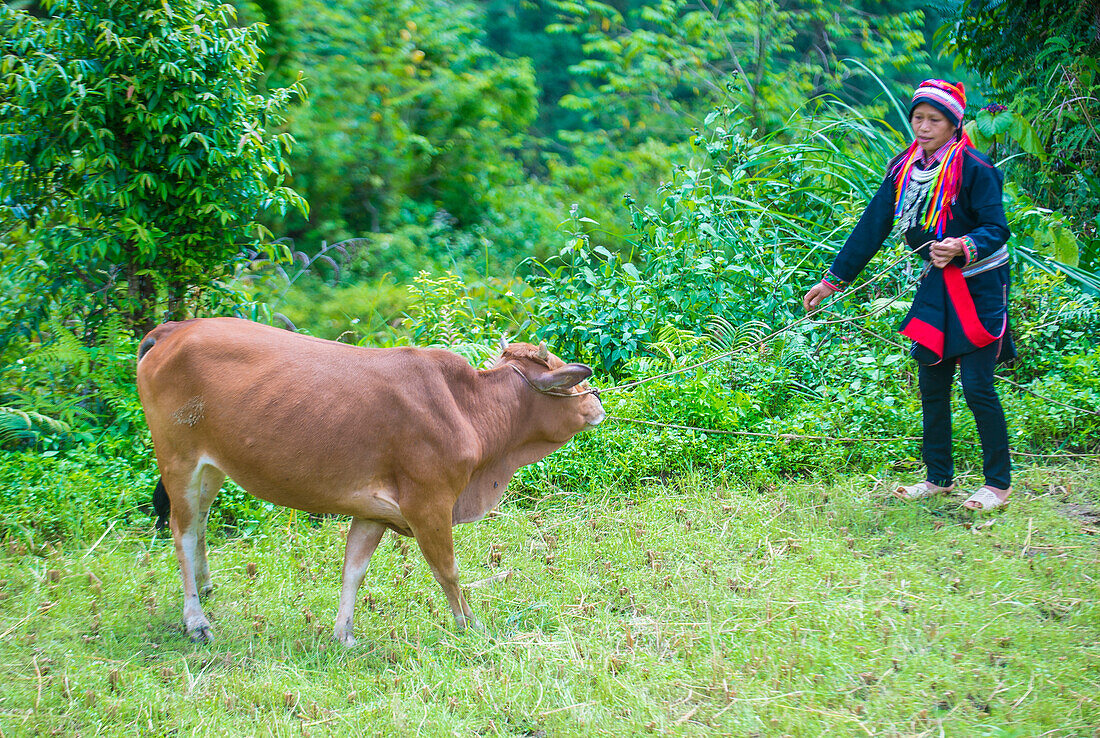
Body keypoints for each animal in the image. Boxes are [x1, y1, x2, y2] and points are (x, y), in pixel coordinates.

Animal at [136, 318, 607, 646]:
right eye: (570, 380)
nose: (598, 403)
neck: (467, 407)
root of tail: (174, 328)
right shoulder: (428, 505)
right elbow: (448, 571)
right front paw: (470, 624)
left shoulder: (373, 512)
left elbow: (354, 571)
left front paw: (344, 633)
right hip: (178, 461)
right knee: (182, 531)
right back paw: (196, 620)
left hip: (212, 467)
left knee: (200, 524)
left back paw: (206, 588)